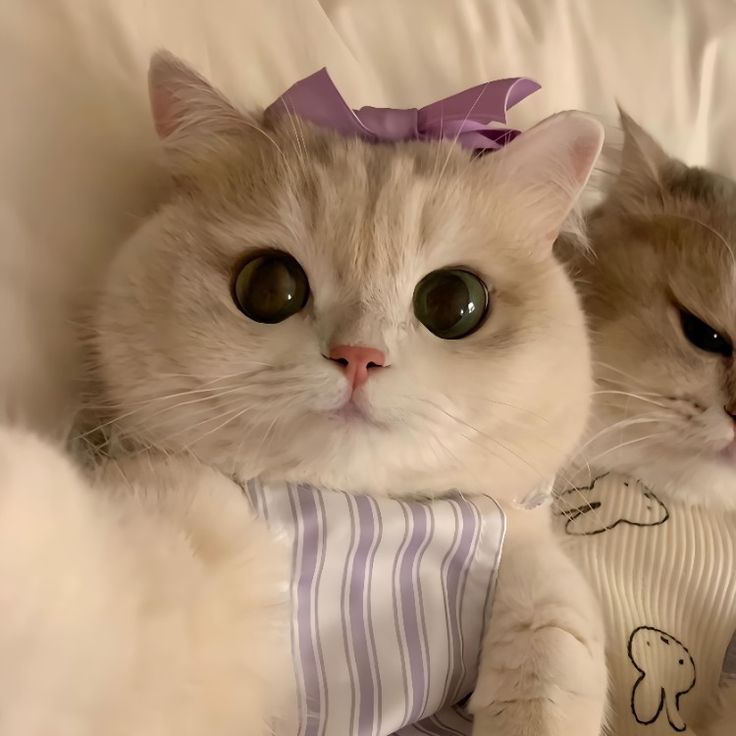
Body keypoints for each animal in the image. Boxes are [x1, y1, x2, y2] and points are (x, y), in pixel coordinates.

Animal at [0, 53, 604, 736]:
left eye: (454, 302)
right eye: (268, 286)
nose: (359, 356)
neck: (361, 522)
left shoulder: (525, 561)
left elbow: (554, 641)